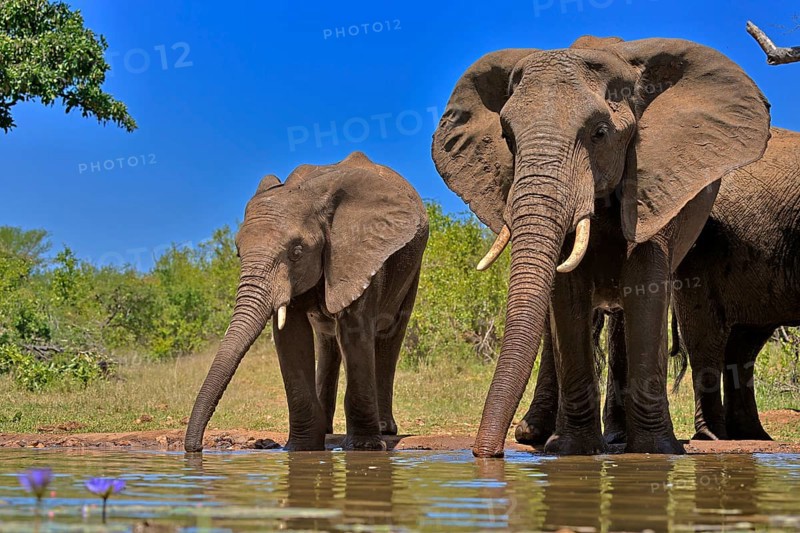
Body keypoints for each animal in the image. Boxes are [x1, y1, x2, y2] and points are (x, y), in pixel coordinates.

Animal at [184, 151, 429, 452]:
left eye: (297, 252)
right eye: (238, 252)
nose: (195, 448)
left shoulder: (360, 255)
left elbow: (355, 330)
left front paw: (365, 447)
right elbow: (291, 336)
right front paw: (300, 448)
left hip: (412, 266)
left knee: (389, 336)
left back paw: (385, 429)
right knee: (328, 340)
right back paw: (327, 429)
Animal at [432, 35, 771, 457]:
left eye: (599, 133)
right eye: (507, 138)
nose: (487, 454)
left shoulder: (654, 179)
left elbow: (645, 284)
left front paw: (656, 450)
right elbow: (566, 293)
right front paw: (572, 449)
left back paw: (620, 439)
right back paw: (542, 435)